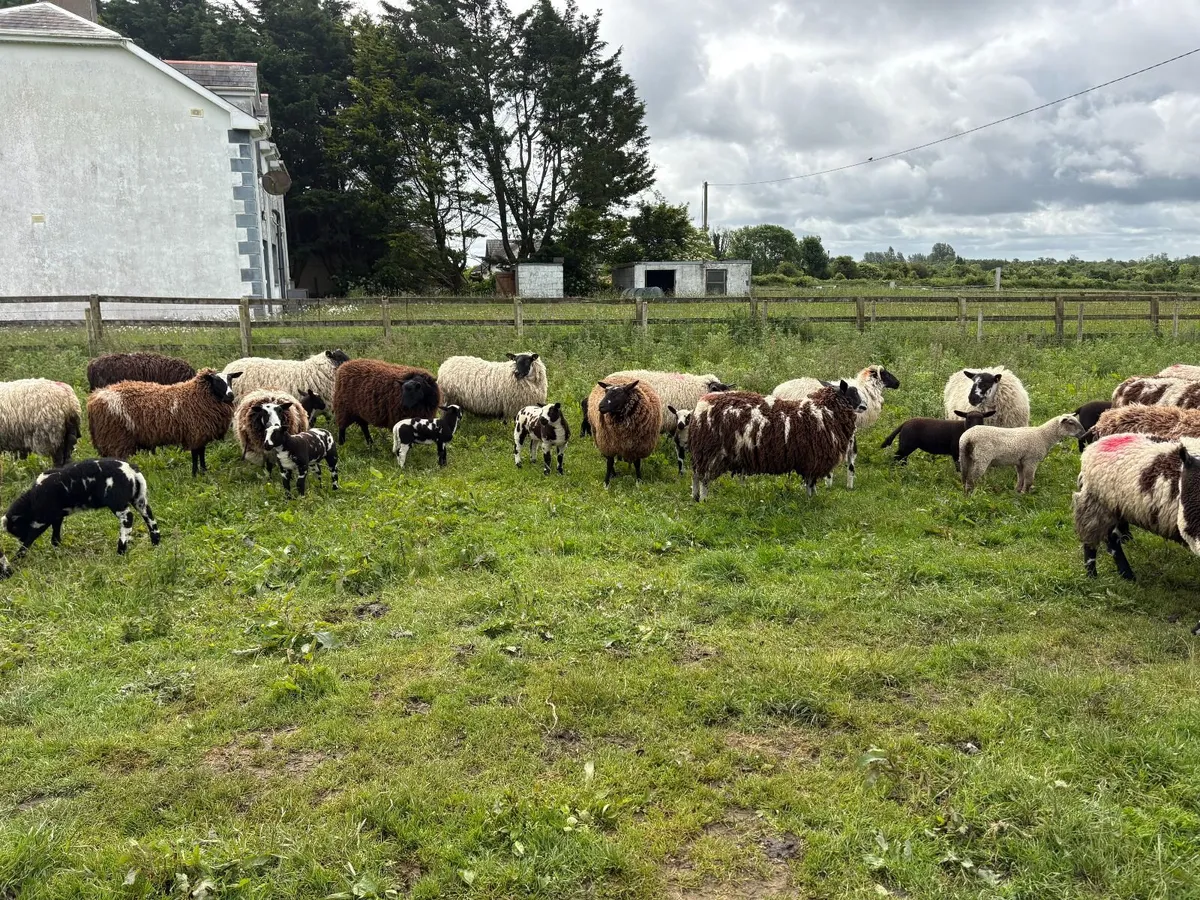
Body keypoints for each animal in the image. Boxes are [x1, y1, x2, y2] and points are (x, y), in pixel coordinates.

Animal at [1, 459, 161, 575]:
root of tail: (132, 470)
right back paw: (156, 543)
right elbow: (55, 537)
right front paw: (57, 552)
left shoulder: (42, 519)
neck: (32, 500)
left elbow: (30, 539)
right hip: (139, 499)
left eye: (15, 529)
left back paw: (121, 550)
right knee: (149, 517)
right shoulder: (57, 516)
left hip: (117, 501)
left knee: (128, 519)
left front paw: (17, 558)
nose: (20, 538)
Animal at [87, 369, 241, 477]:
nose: (230, 395)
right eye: (216, 381)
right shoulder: (195, 433)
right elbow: (195, 455)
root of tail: (94, 399)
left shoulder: (200, 434)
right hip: (116, 439)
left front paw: (204, 471)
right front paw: (195, 474)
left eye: (230, 379)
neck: (197, 395)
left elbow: (201, 454)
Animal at [689, 382, 866, 501]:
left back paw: (695, 497)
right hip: (710, 451)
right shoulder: (813, 458)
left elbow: (810, 481)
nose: (864, 406)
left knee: (696, 475)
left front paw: (811, 497)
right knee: (703, 478)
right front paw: (811, 499)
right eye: (851, 394)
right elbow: (811, 482)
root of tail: (701, 404)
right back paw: (704, 499)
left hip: (702, 451)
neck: (825, 409)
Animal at [1073, 434, 1200, 580]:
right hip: (1095, 505)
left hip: (1114, 508)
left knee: (1112, 539)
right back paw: (1093, 575)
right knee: (1091, 542)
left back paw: (1126, 575)